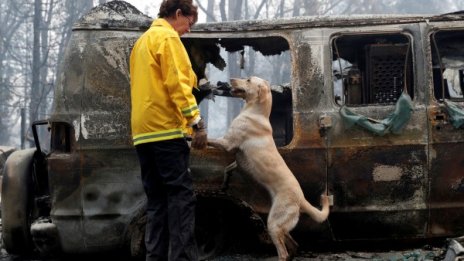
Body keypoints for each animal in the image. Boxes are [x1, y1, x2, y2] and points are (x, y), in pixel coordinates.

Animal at [207, 76, 330, 258]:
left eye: (248, 79)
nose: (229, 79)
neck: (255, 112)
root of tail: (301, 199)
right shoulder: (237, 158)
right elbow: (228, 168)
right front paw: (224, 183)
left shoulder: (227, 143)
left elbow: (208, 140)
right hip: (279, 226)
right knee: (293, 245)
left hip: (273, 223)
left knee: (283, 253)